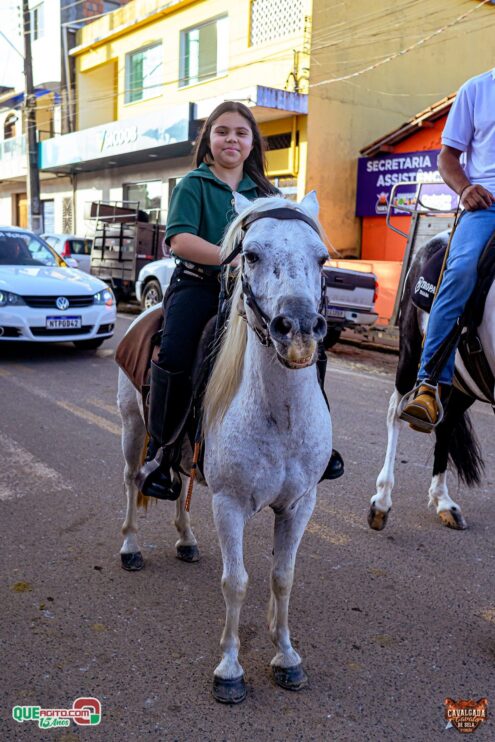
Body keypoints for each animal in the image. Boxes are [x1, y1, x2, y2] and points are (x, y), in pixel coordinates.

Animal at [117, 192, 332, 704]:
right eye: (249, 255)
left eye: (322, 258)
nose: (298, 329)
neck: (280, 416)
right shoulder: (230, 503)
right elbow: (236, 583)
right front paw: (230, 668)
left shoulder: (300, 503)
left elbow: (282, 577)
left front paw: (286, 654)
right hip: (133, 427)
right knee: (133, 481)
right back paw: (131, 547)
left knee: (177, 485)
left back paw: (186, 540)